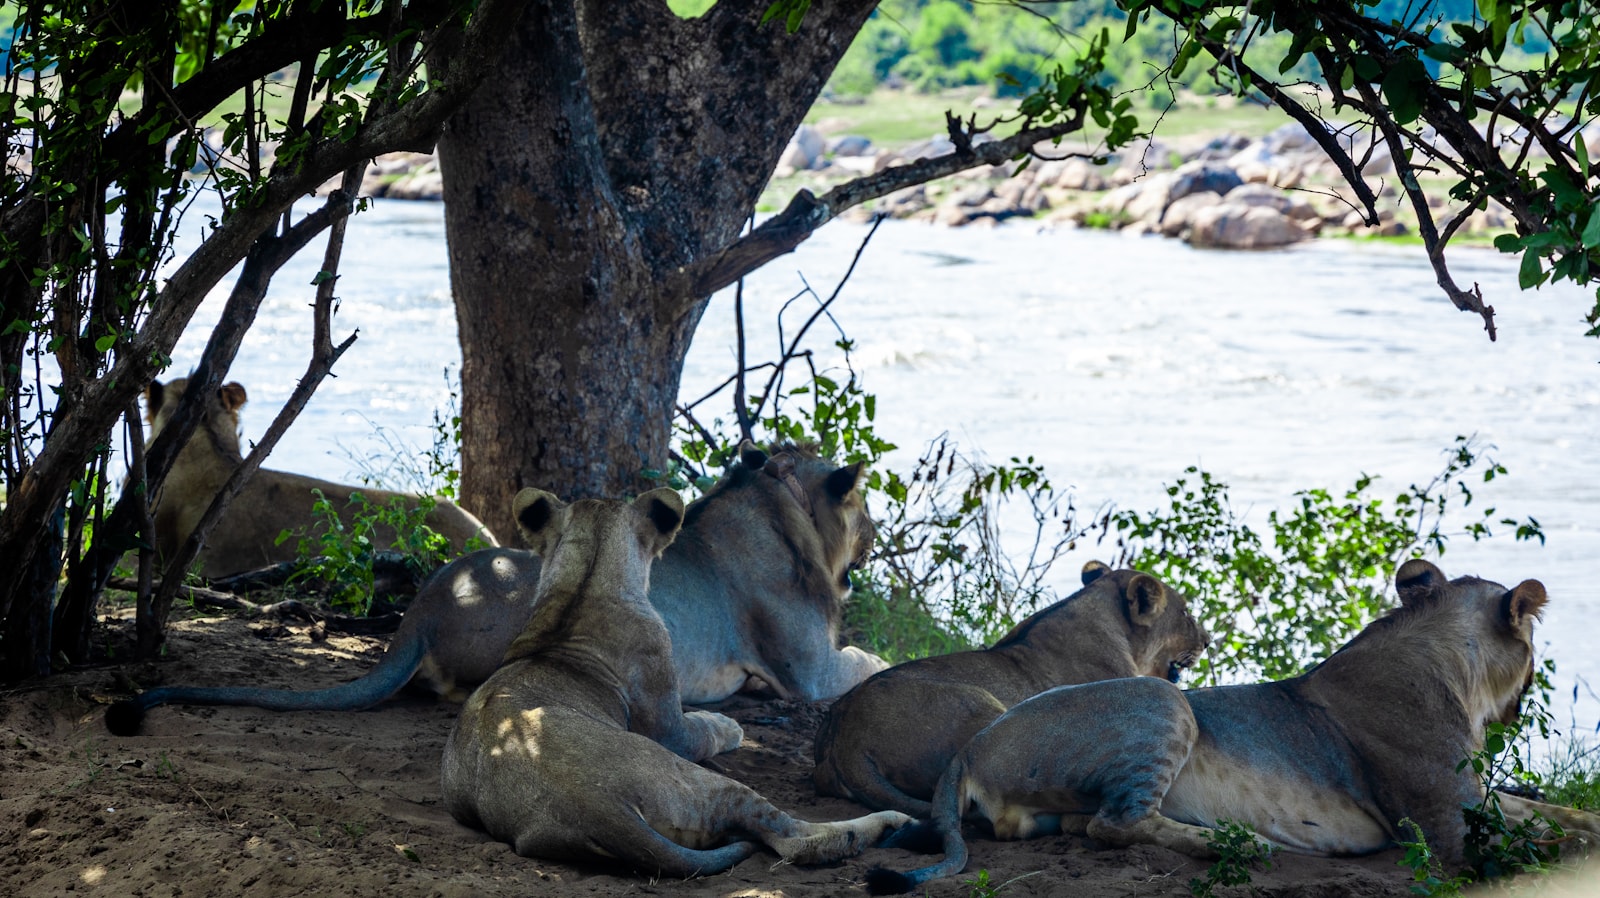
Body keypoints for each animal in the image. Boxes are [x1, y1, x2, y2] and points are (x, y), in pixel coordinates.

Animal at [106, 441, 886, 734]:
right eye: (867, 506)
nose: (876, 531)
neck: (782, 505)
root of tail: (421, 611)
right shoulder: (808, 672)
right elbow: (870, 663)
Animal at [439, 486, 911, 876]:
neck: (582, 589)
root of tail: (596, 806)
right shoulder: (670, 729)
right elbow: (701, 729)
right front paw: (730, 725)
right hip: (701, 780)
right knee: (794, 839)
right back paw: (891, 823)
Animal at [866, 560, 1600, 894]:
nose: (1524, 698)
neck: (1454, 671)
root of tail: (969, 749)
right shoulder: (1451, 830)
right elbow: (1555, 840)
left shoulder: (1480, 801)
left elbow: (1560, 815)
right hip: (1167, 702)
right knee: (1115, 824)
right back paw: (1235, 847)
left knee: (1087, 823)